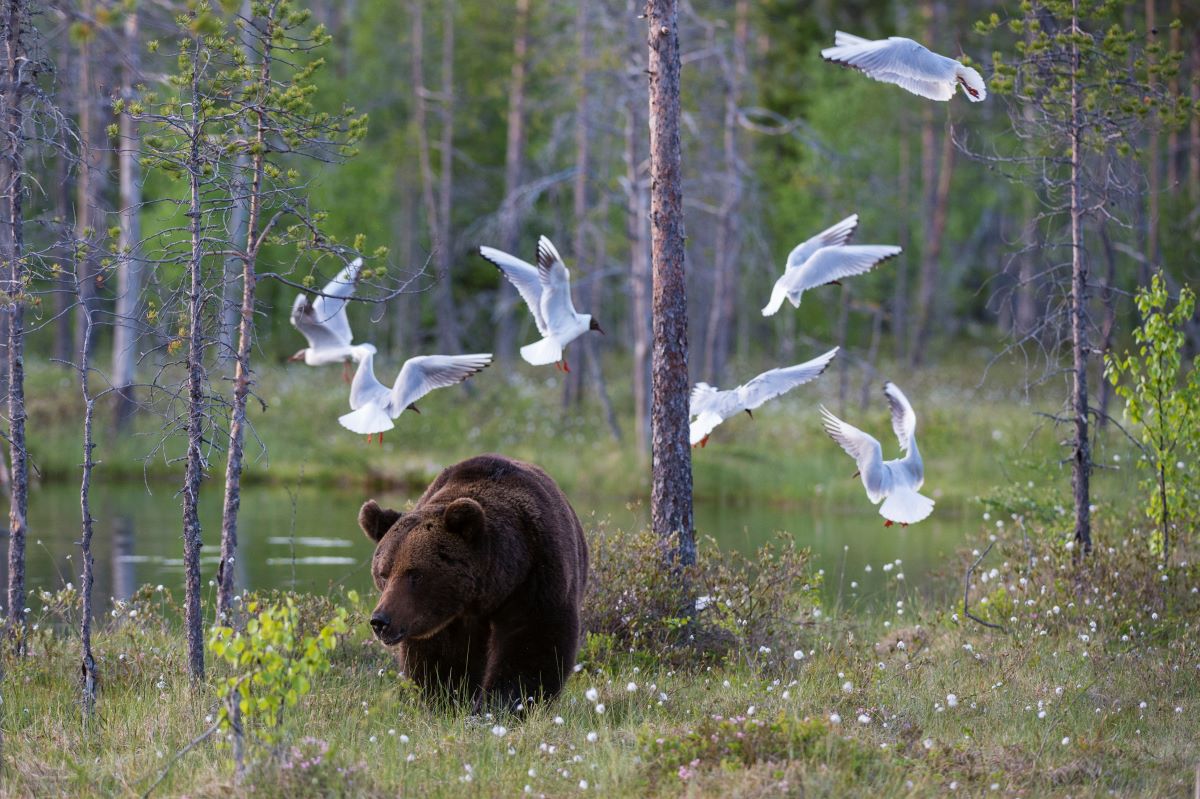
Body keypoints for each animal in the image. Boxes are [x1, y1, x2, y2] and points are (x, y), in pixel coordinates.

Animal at [358, 453, 588, 712]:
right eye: (383, 573)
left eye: (414, 574)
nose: (380, 621)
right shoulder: (445, 617)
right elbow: (443, 657)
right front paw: (445, 699)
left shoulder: (536, 576)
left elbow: (532, 642)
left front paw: (503, 704)